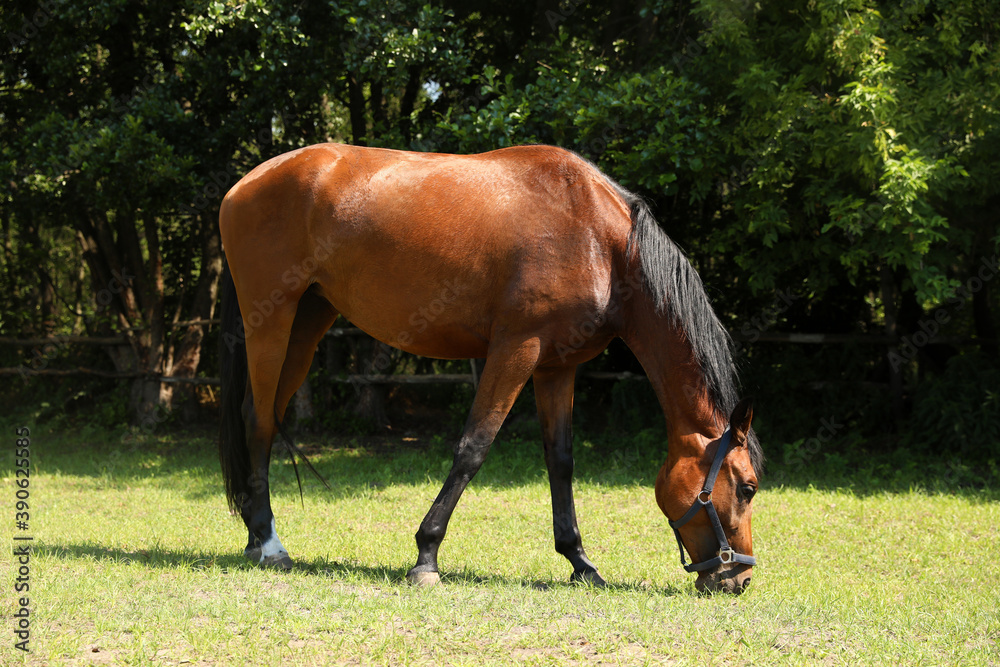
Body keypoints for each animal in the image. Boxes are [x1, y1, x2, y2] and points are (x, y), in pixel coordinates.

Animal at [218, 143, 764, 594]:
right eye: (747, 487)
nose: (736, 579)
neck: (600, 239)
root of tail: (246, 182)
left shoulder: (556, 367)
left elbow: (560, 461)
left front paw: (580, 562)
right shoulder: (515, 350)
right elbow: (473, 448)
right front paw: (426, 556)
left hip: (306, 324)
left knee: (260, 417)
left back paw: (254, 537)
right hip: (272, 322)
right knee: (259, 421)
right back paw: (269, 543)